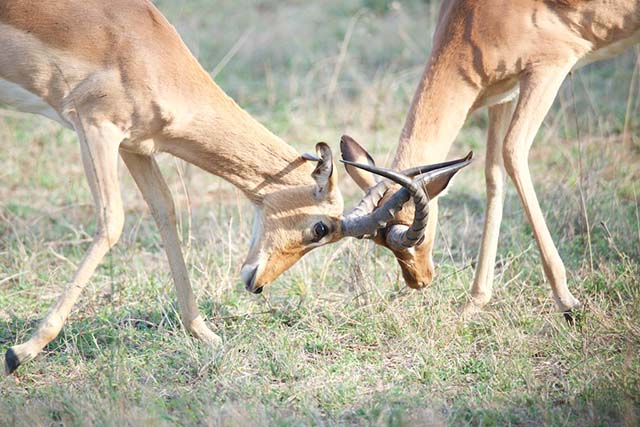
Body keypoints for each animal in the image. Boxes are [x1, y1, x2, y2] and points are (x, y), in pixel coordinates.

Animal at [1, 0, 472, 375]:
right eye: (320, 228)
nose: (257, 285)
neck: (144, 50)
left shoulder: (137, 146)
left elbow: (166, 213)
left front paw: (205, 334)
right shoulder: (95, 126)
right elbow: (112, 221)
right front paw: (20, 352)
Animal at [341, 0, 640, 318]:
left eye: (417, 237)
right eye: (382, 243)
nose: (419, 281)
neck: (473, 21)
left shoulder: (548, 69)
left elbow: (512, 152)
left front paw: (567, 301)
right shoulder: (504, 92)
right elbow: (493, 174)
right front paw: (474, 302)